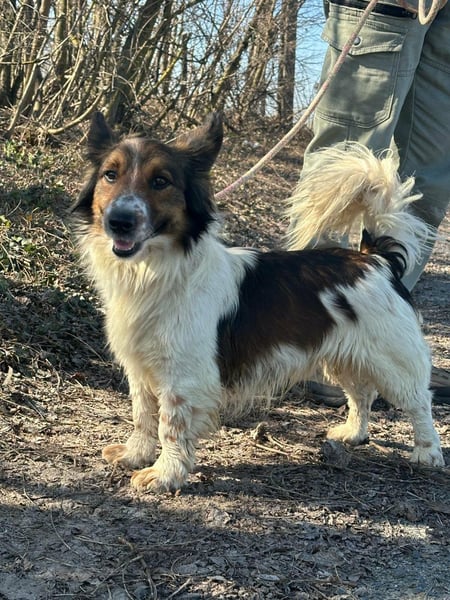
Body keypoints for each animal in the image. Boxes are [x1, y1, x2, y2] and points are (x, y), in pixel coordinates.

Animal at [72, 112, 444, 492]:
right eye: (110, 175)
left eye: (161, 181)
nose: (118, 221)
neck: (157, 270)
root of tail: (374, 257)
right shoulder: (140, 367)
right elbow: (142, 415)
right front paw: (136, 454)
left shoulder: (183, 377)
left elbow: (170, 425)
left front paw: (166, 473)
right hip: (345, 356)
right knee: (362, 394)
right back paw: (354, 433)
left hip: (393, 363)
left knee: (419, 402)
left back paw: (427, 453)